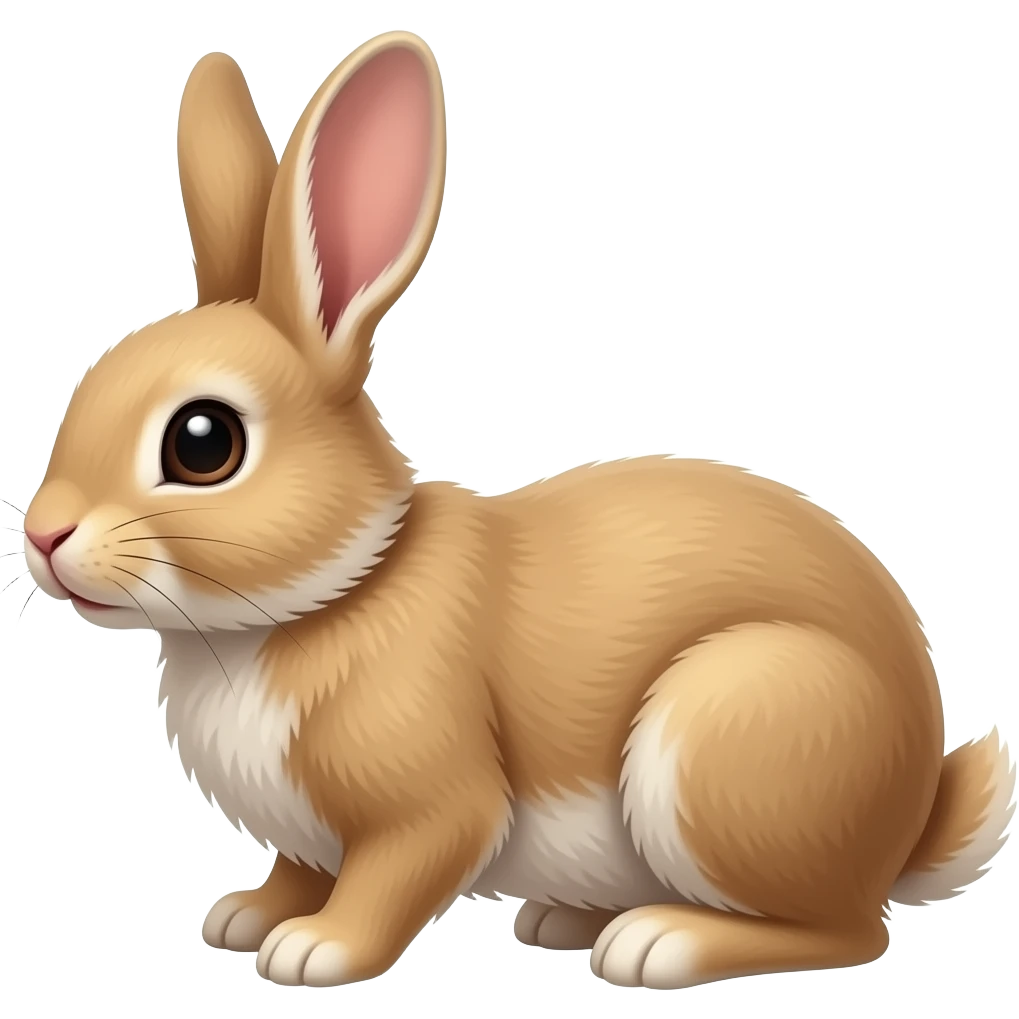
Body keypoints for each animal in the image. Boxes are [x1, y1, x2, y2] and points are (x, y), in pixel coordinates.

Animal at [21, 31, 1016, 991]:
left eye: (203, 443)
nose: (43, 534)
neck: (332, 590)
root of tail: (912, 814)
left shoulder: (431, 804)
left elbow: (392, 876)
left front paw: (314, 950)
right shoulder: (310, 835)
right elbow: (301, 868)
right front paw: (245, 916)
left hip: (726, 736)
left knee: (848, 929)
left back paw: (658, 942)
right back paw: (564, 919)